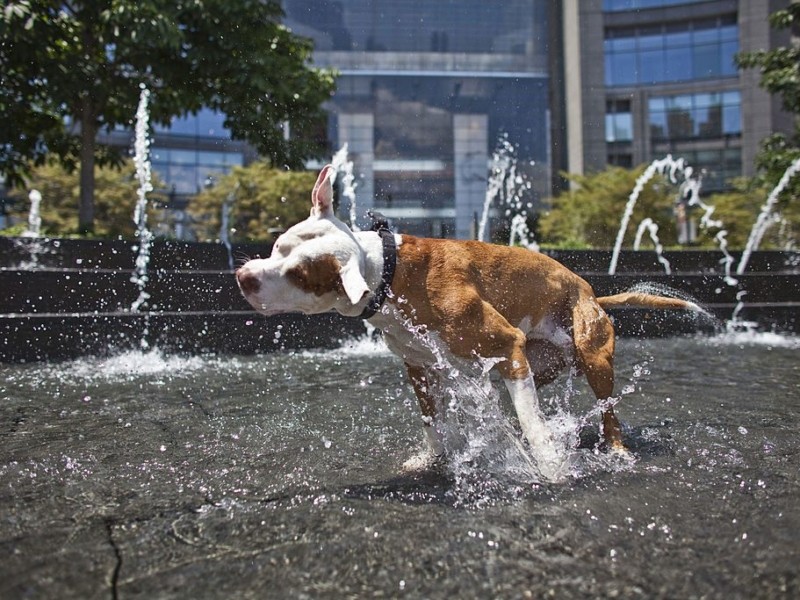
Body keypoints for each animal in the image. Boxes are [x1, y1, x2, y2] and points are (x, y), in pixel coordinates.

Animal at [234, 165, 696, 478]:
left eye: (300, 276)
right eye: (278, 245)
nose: (244, 277)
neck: (389, 273)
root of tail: (590, 291)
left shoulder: (505, 343)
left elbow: (534, 425)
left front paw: (550, 465)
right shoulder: (420, 366)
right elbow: (433, 422)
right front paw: (433, 458)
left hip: (590, 356)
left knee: (605, 410)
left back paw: (615, 448)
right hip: (535, 363)